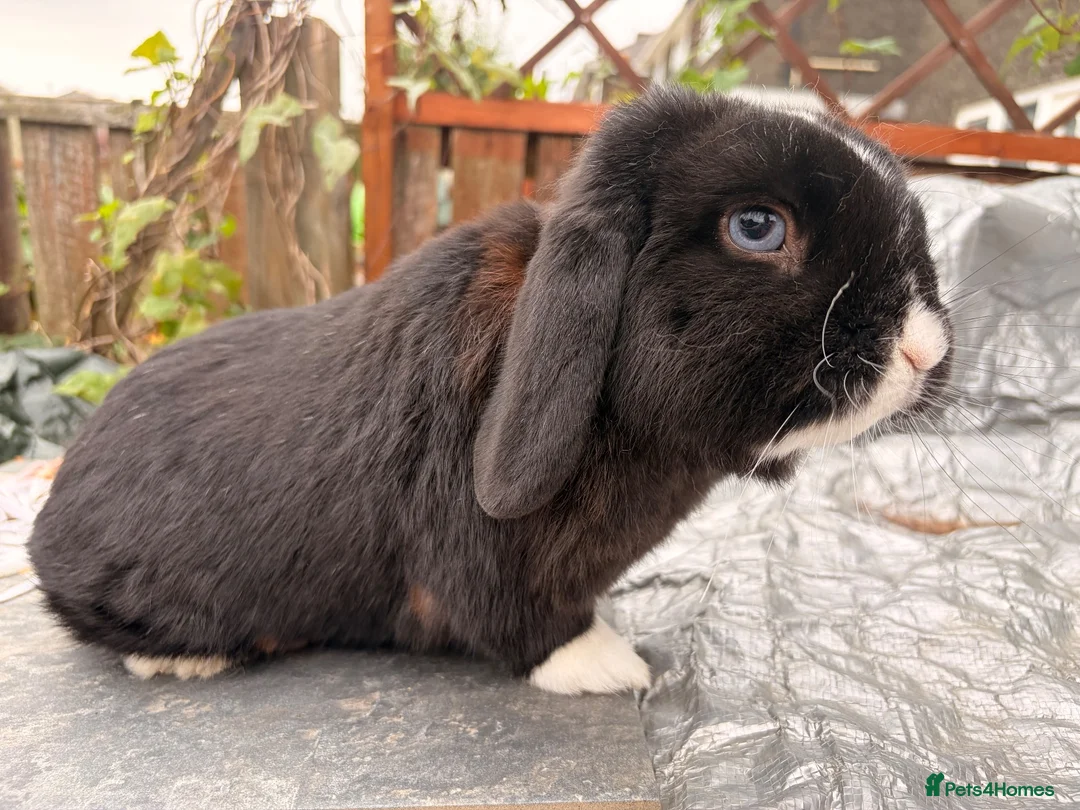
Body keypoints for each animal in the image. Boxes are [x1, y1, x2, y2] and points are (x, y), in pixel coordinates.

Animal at [28, 86, 952, 695]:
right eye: (757, 227)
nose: (922, 346)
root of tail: (48, 516)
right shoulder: (479, 561)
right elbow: (517, 623)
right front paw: (611, 666)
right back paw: (189, 656)